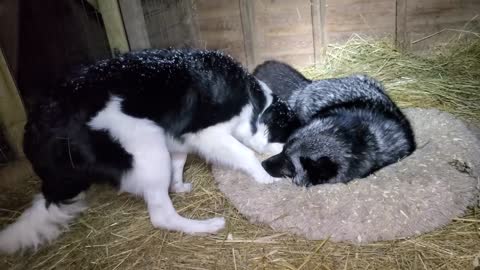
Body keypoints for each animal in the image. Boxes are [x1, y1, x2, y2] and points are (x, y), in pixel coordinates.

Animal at [0, 48, 284, 253]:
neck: (253, 99)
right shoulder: (206, 134)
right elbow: (245, 154)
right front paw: (264, 177)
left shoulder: (177, 138)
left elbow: (179, 163)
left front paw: (179, 186)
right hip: (147, 147)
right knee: (161, 216)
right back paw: (206, 226)